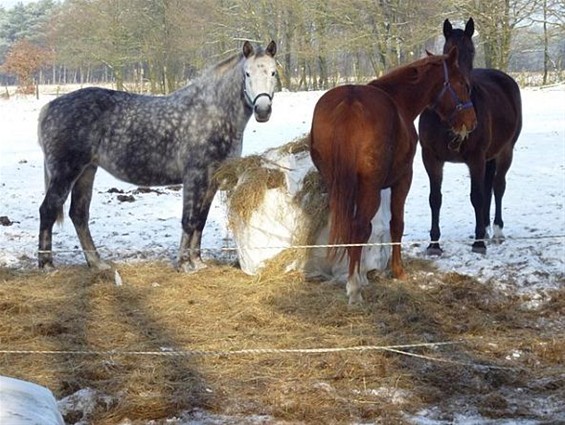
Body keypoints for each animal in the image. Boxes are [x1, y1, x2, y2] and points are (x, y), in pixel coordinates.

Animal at [38, 41, 278, 270]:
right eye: (247, 73)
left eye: (274, 72)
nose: (263, 109)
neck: (211, 113)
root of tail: (50, 107)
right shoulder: (194, 176)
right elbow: (189, 220)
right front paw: (184, 264)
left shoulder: (212, 180)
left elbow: (200, 220)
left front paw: (198, 262)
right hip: (66, 172)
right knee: (48, 210)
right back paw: (47, 264)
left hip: (87, 171)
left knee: (78, 214)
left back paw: (97, 263)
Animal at [308, 48, 476, 304]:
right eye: (463, 84)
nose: (471, 121)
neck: (398, 101)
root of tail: (349, 102)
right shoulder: (403, 179)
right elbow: (396, 223)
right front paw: (398, 270)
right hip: (371, 187)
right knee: (359, 226)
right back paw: (354, 287)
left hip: (336, 183)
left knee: (346, 224)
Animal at [416, 18, 524, 253]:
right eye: (447, 50)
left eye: (472, 51)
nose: (464, 86)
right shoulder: (431, 158)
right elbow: (435, 198)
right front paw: (434, 244)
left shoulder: (475, 158)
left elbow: (477, 197)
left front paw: (478, 243)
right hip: (489, 157)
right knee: (489, 188)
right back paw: (485, 227)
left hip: (505, 152)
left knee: (497, 186)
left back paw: (496, 231)